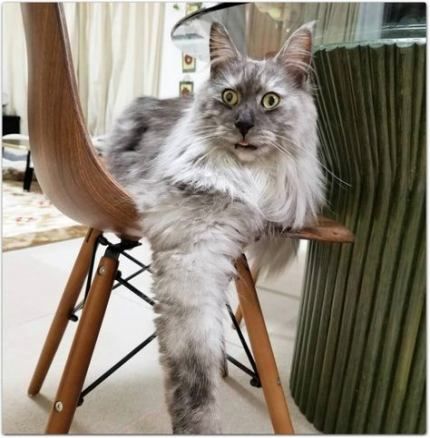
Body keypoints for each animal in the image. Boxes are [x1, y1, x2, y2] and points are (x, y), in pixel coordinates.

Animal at [106, 21, 324, 434]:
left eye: (270, 101)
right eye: (229, 96)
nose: (244, 125)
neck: (245, 177)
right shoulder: (193, 252)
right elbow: (196, 365)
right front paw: (198, 426)